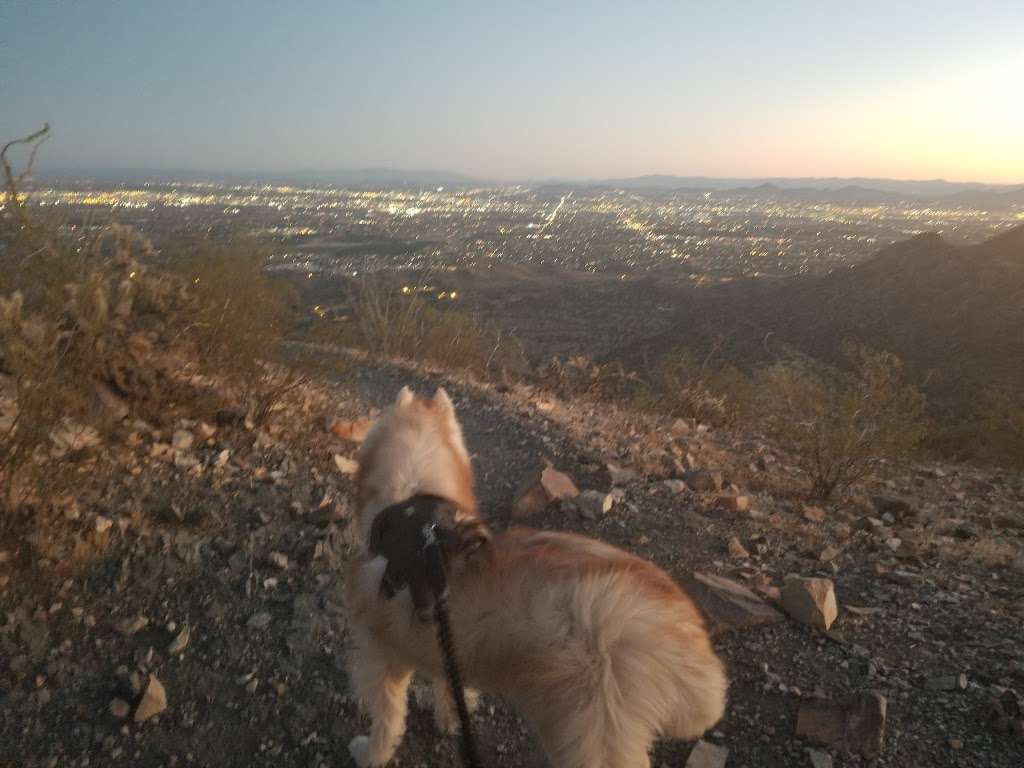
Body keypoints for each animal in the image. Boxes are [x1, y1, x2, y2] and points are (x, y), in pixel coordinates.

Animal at [346, 391, 729, 768]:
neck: (414, 509)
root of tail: (684, 635)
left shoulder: (379, 657)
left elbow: (387, 719)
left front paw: (371, 754)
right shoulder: (444, 641)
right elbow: (449, 686)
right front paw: (451, 718)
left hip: (591, 736)